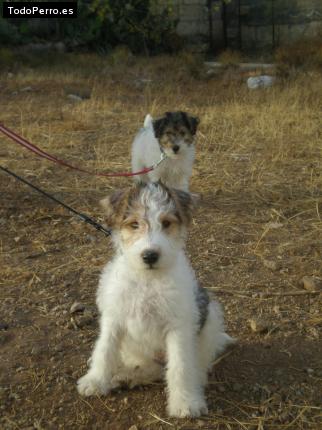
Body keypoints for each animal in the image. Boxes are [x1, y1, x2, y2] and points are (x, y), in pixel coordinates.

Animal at [76, 181, 233, 416]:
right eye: (134, 224)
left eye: (166, 223)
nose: (150, 256)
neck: (147, 279)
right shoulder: (114, 319)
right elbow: (104, 350)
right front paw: (94, 381)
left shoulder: (177, 327)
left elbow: (180, 367)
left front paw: (185, 403)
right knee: (149, 367)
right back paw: (127, 375)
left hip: (210, 318)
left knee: (191, 366)